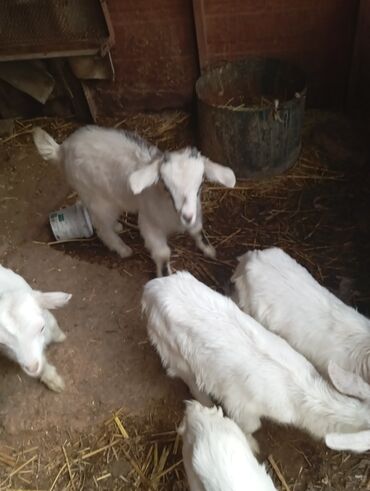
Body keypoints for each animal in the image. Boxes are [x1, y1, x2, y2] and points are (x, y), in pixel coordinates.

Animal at [31, 127, 234, 276]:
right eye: (166, 185)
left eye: (201, 184)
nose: (186, 216)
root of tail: (62, 149)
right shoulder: (149, 223)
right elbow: (163, 254)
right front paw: (165, 278)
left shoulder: (195, 212)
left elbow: (198, 230)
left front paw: (209, 251)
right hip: (98, 198)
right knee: (101, 226)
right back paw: (122, 248)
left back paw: (117, 227)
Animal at [144, 270, 370, 456]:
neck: (300, 396)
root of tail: (151, 290)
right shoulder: (242, 407)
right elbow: (250, 428)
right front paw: (252, 447)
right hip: (172, 349)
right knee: (187, 378)